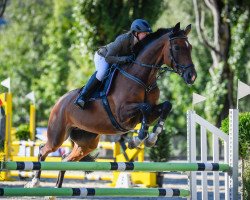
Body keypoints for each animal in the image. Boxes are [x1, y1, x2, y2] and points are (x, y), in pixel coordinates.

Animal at [25, 22, 197, 188]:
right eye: (177, 48)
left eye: (190, 48)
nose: (192, 76)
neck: (142, 77)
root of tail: (59, 102)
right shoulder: (122, 113)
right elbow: (145, 109)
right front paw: (138, 139)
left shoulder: (146, 112)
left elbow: (166, 106)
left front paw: (152, 137)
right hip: (57, 135)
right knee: (43, 150)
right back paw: (35, 181)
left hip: (86, 143)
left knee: (65, 161)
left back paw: (57, 189)